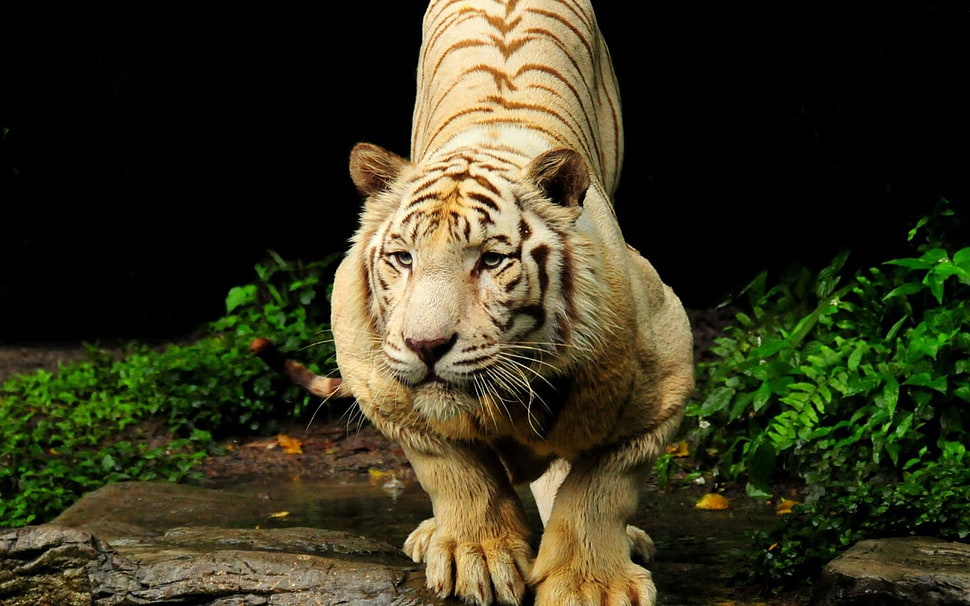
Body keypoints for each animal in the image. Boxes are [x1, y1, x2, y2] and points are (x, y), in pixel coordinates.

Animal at [285, 1, 693, 604]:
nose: (426, 345)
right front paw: (473, 558)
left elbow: (599, 488)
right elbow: (454, 470)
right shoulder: (378, 379)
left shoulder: (664, 372)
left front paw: (589, 583)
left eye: (492, 261)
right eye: (403, 258)